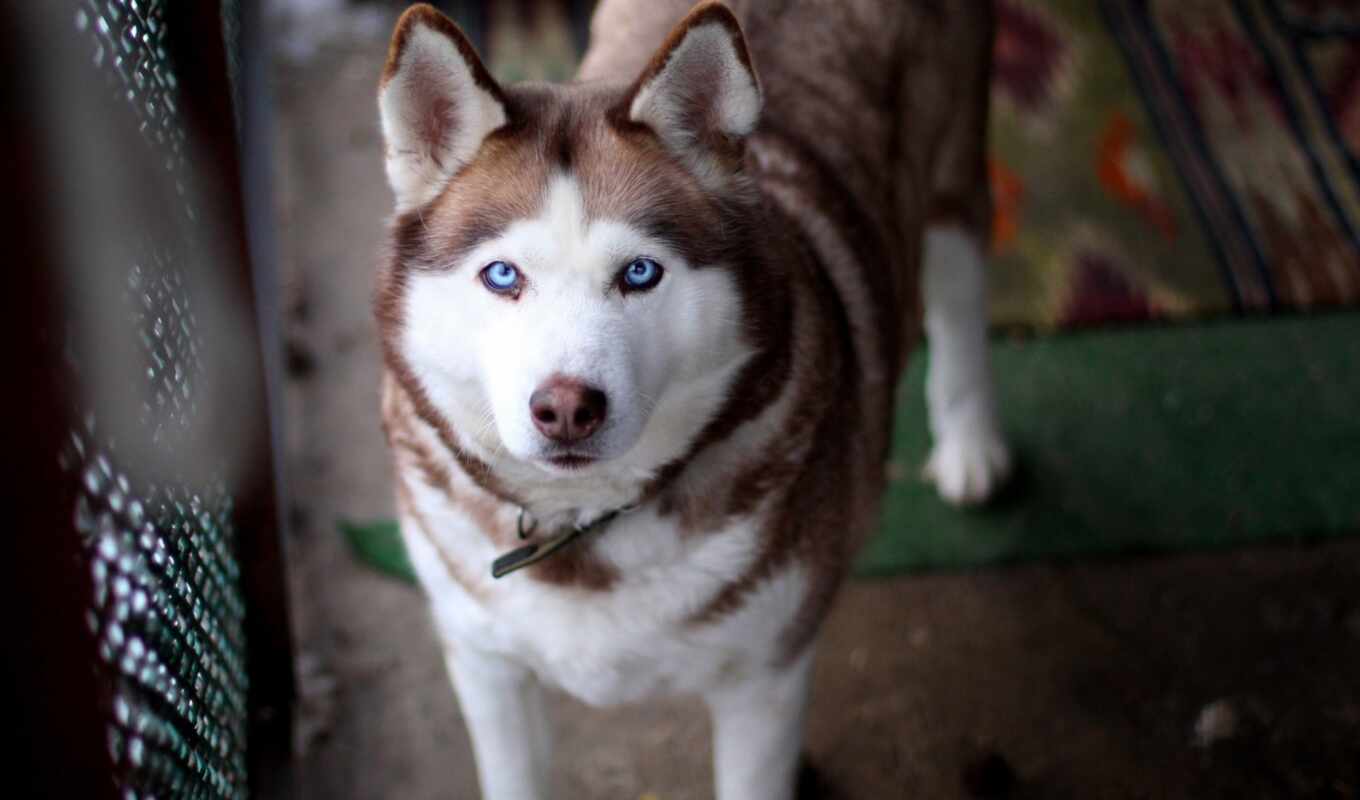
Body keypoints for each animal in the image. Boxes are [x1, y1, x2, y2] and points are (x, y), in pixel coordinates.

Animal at [372, 3, 1011, 794]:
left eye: (640, 273)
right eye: (502, 276)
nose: (566, 408)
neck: (585, 530)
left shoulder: (764, 679)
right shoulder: (486, 665)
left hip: (954, 165)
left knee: (958, 283)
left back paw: (971, 443)